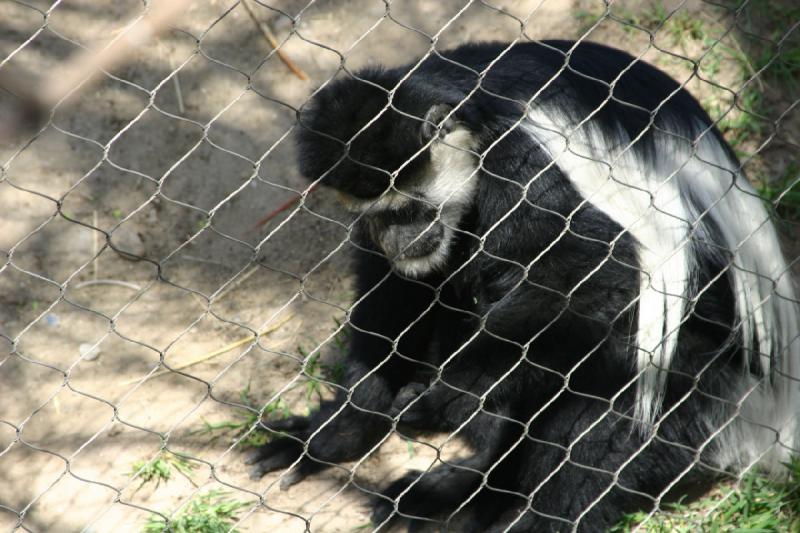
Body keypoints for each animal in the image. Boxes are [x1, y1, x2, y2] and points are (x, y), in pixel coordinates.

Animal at [245, 39, 800, 528]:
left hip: (697, 370)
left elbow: (594, 279)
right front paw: (338, 435)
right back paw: (458, 489)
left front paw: (440, 398)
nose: (402, 240)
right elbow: (395, 290)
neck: (468, 110)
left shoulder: (525, 160)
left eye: (409, 209)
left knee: (610, 399)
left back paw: (526, 510)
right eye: (379, 216)